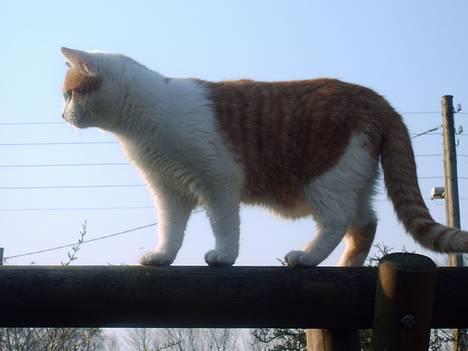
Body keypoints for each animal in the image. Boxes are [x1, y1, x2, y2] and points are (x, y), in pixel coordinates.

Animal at [60, 46, 466, 266]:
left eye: (69, 94)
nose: (61, 114)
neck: (141, 120)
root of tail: (378, 99)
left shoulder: (217, 180)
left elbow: (224, 224)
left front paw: (223, 254)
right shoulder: (169, 190)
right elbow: (171, 229)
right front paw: (163, 255)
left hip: (327, 178)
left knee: (337, 221)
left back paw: (307, 256)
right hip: (353, 179)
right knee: (365, 223)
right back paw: (342, 266)